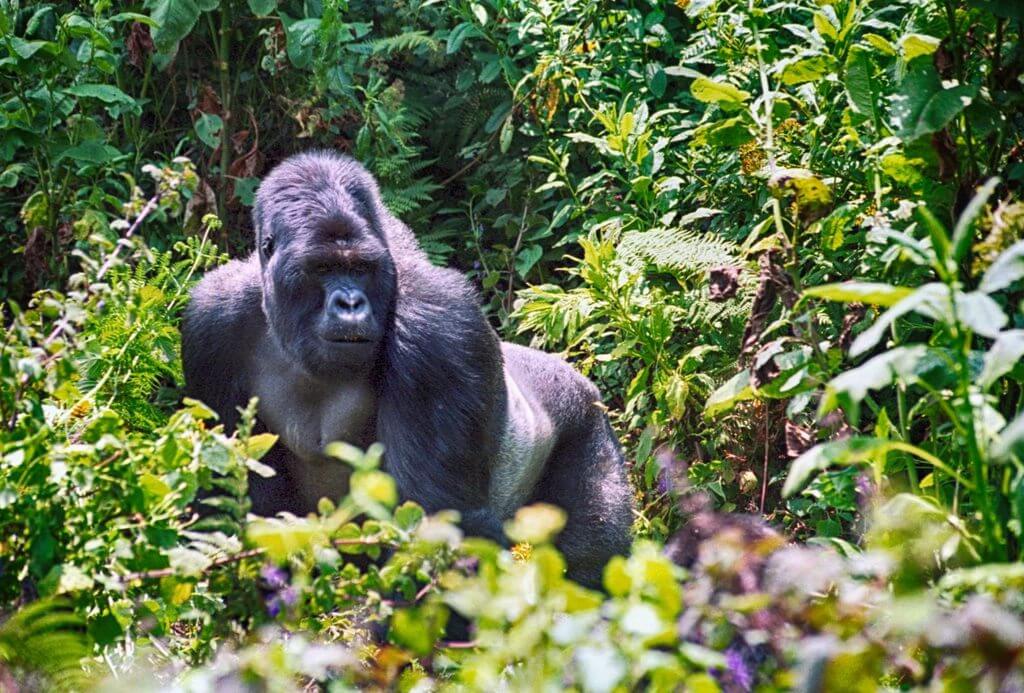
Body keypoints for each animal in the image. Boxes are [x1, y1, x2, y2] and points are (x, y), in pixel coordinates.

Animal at [183, 150, 630, 585]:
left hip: (588, 422)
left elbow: (439, 525)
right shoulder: (211, 321)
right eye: (322, 268)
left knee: (593, 565)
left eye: (360, 268)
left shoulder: (437, 325)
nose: (350, 304)